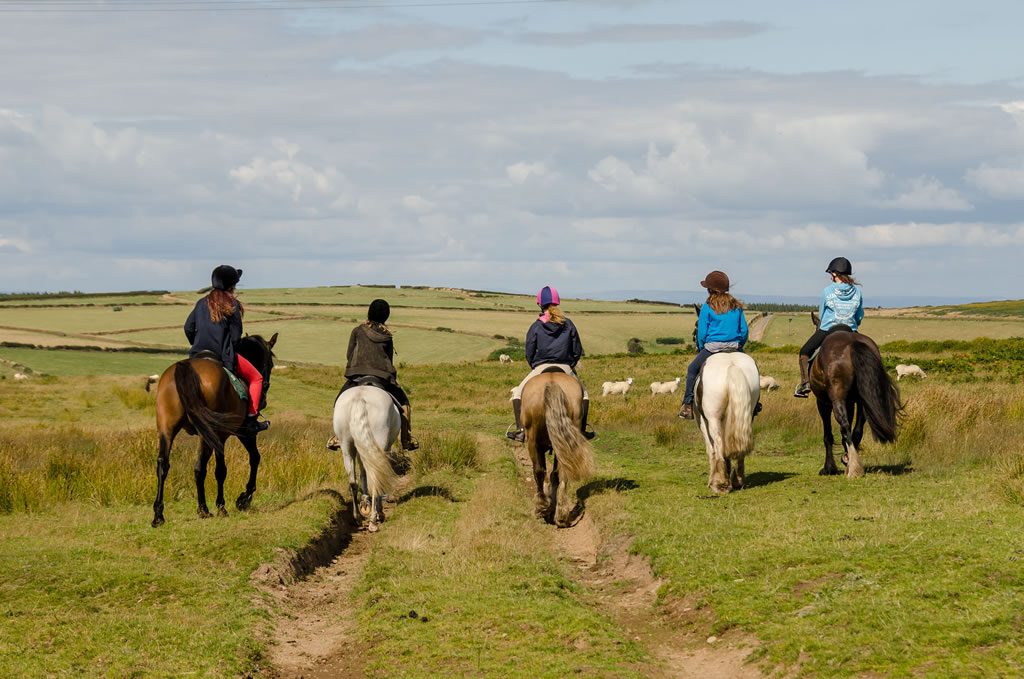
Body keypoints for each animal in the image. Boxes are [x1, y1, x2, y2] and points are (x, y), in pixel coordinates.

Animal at [148, 331, 276, 528]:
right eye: (270, 363)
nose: (264, 397)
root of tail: (185, 368)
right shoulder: (241, 433)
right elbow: (249, 460)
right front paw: (241, 500)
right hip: (210, 433)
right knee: (203, 467)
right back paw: (207, 508)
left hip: (167, 429)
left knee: (164, 464)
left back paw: (160, 515)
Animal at [333, 385, 401, 532]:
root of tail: (359, 397)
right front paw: (378, 511)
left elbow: (363, 472)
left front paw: (365, 501)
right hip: (379, 442)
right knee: (375, 478)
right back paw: (373, 520)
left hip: (346, 446)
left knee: (353, 481)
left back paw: (357, 517)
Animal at [524, 372, 598, 524]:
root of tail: (552, 382)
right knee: (563, 471)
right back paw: (561, 513)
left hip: (532, 441)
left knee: (539, 471)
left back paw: (541, 507)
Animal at [696, 350, 761, 493]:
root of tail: (732, 365)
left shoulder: (703, 423)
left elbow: (711, 450)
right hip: (748, 415)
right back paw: (737, 481)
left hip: (713, 419)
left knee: (718, 445)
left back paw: (719, 484)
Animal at [811, 313, 901, 477]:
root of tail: (853, 343)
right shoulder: (850, 401)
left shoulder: (822, 403)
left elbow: (828, 436)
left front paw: (828, 468)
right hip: (863, 400)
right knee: (857, 429)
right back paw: (852, 461)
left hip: (837, 398)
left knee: (845, 425)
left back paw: (853, 468)